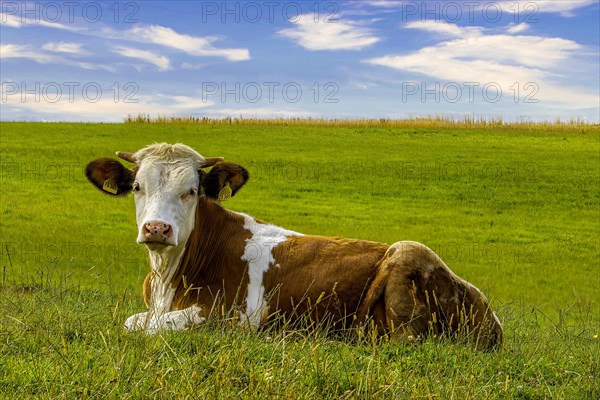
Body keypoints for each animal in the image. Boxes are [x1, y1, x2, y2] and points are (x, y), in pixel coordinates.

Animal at [85, 143, 502, 350]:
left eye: (191, 191)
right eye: (137, 187)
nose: (158, 228)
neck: (168, 279)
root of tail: (490, 313)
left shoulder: (228, 317)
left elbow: (152, 327)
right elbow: (134, 322)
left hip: (408, 252)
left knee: (402, 343)